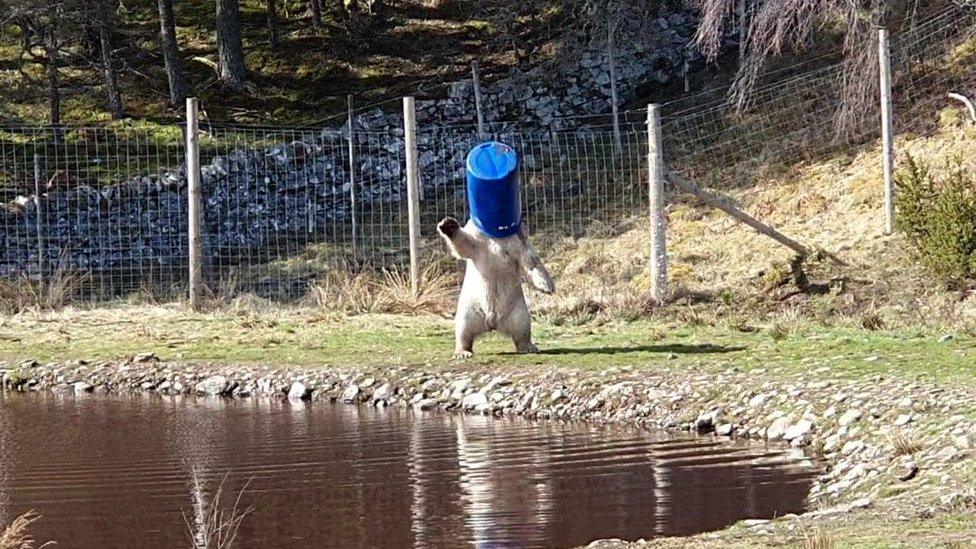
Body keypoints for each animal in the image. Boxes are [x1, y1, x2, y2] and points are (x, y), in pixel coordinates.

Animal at [436, 216, 552, 358]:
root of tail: (493, 324)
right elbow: (464, 244)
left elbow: (530, 260)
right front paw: (448, 225)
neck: (496, 236)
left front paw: (547, 287)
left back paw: (528, 347)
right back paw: (462, 352)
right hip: (471, 309)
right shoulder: (478, 239)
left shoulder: (518, 239)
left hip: (517, 310)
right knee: (464, 328)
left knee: (522, 327)